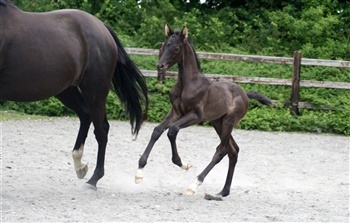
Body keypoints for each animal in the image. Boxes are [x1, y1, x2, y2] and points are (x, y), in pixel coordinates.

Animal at [0, 0, 148, 190]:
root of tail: (102, 28)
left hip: (94, 91)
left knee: (101, 130)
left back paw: (93, 180)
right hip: (66, 90)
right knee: (85, 115)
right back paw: (80, 167)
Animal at [136, 24, 270, 200]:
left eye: (176, 48)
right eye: (165, 45)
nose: (160, 66)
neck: (187, 83)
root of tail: (245, 95)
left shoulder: (196, 116)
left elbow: (172, 130)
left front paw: (183, 164)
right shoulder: (176, 112)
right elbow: (157, 130)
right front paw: (139, 172)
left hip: (229, 122)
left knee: (221, 151)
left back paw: (194, 185)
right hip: (218, 122)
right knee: (233, 151)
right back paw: (223, 191)